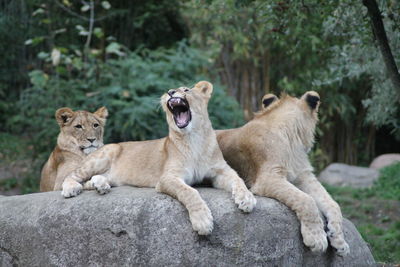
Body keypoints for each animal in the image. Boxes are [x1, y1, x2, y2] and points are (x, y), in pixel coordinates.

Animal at [62, 81, 256, 237]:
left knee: (91, 181)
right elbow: (190, 192)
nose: (170, 92)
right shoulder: (167, 178)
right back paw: (72, 189)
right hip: (105, 154)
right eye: (169, 90)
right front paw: (203, 221)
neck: (194, 138)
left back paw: (101, 185)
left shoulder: (220, 171)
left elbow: (238, 180)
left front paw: (246, 199)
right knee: (71, 176)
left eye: (186, 89)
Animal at [216, 92, 350, 258]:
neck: (291, 139)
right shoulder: (268, 178)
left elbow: (332, 203)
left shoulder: (303, 176)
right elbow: (306, 200)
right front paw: (316, 238)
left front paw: (339, 241)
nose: (337, 241)